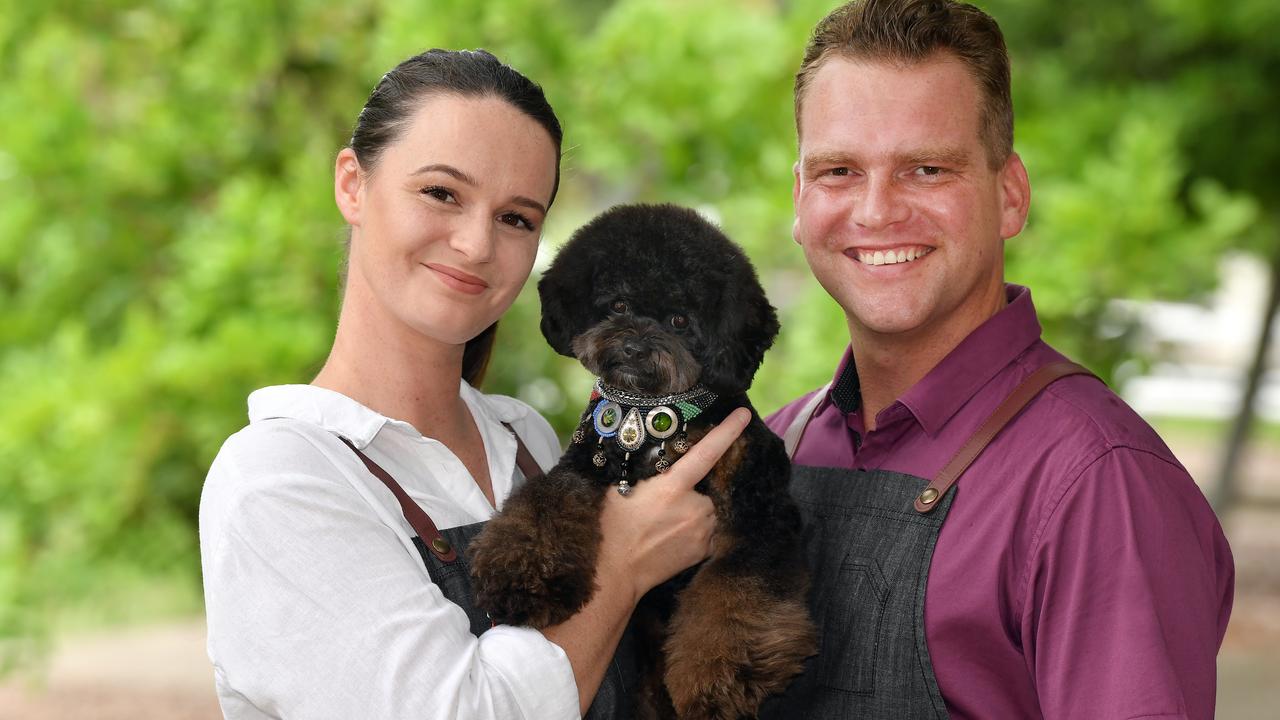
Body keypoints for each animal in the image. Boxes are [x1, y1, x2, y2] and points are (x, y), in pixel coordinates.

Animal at [468, 203, 808, 717]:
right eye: (619, 306)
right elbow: (545, 503)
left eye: (680, 320)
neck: (648, 412)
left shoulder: (758, 504)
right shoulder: (582, 465)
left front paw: (719, 680)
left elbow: (736, 589)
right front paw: (520, 579)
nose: (633, 347)